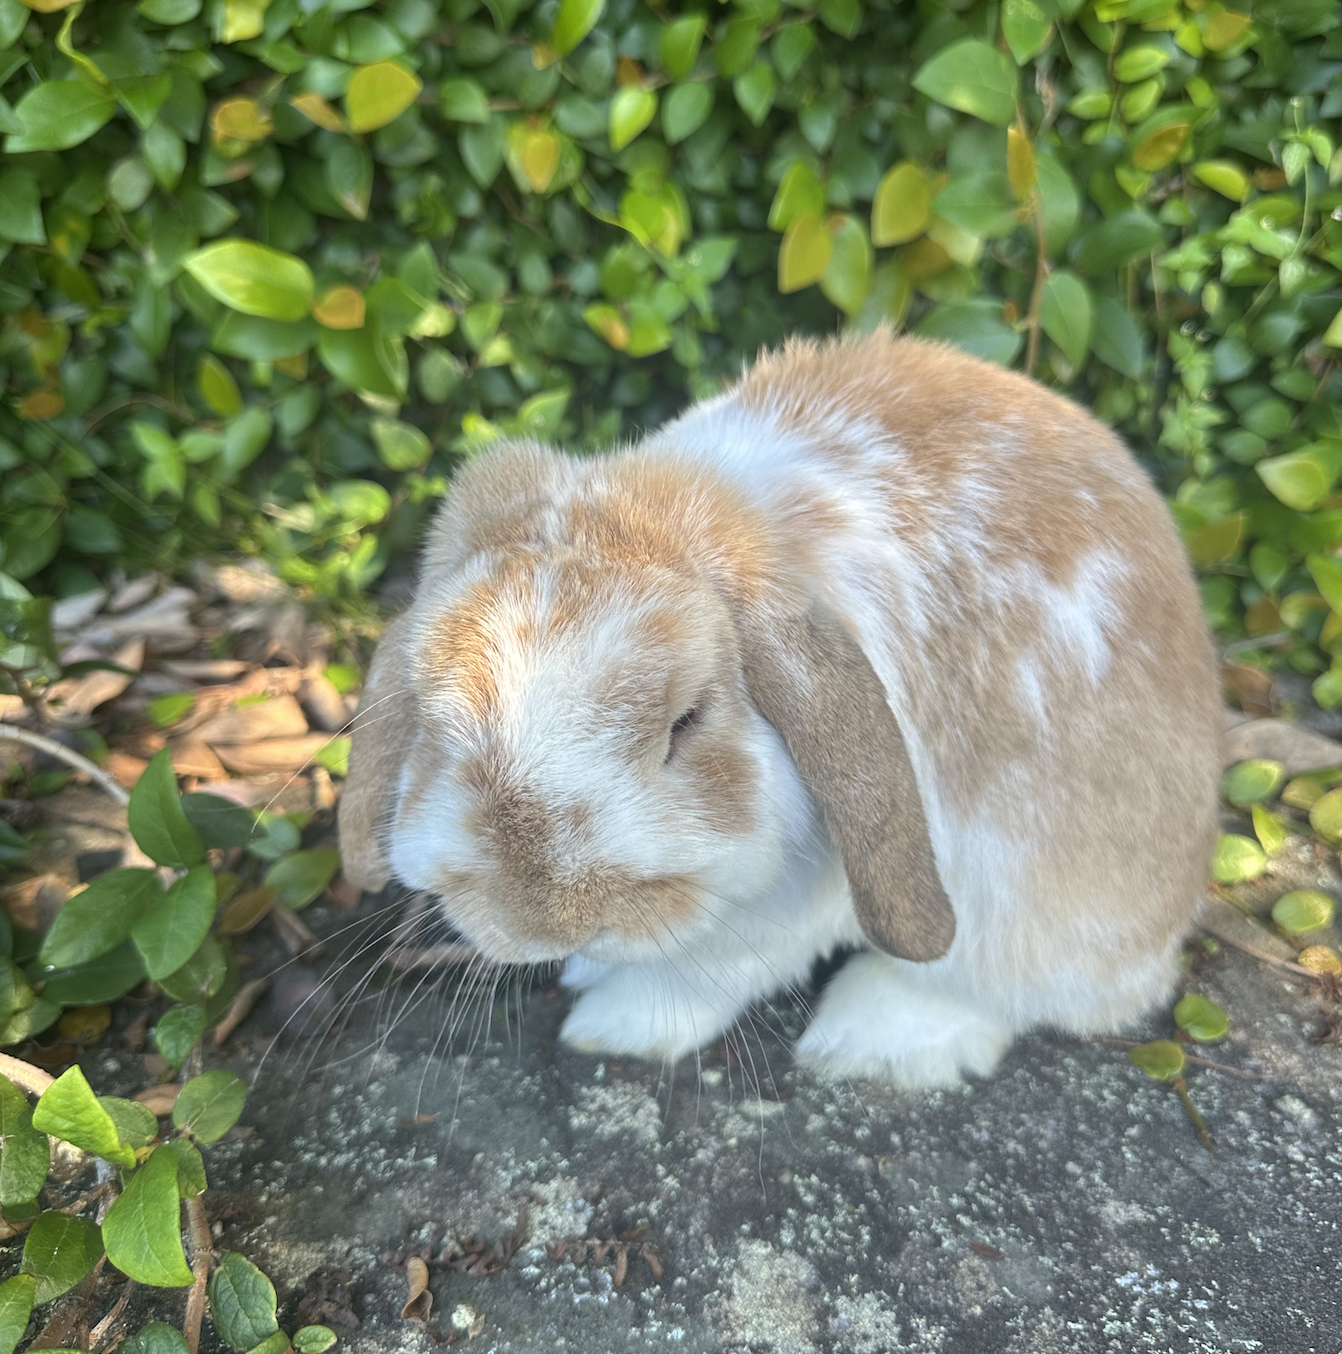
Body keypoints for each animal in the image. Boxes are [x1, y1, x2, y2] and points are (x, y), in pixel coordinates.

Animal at [339, 331, 1221, 1088]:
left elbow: (705, 970)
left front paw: (614, 1023)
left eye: (687, 724)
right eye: (433, 722)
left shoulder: (784, 905)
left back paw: (868, 1043)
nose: (548, 921)